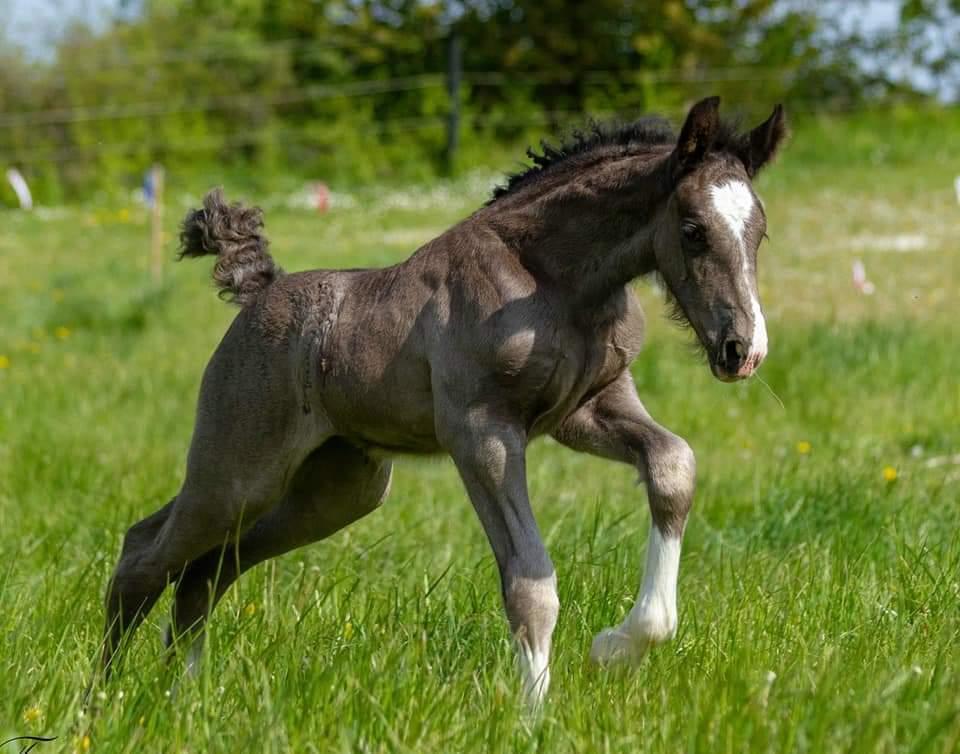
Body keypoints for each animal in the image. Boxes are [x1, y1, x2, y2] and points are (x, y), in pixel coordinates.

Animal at [97, 97, 788, 704]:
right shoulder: (482, 433)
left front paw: (618, 645)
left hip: (338, 489)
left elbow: (674, 466)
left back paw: (180, 696)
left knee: (207, 570)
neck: (549, 275)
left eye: (759, 233)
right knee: (144, 552)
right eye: (693, 231)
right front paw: (533, 719)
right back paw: (102, 699)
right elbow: (531, 582)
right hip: (239, 471)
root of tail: (262, 291)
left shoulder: (590, 411)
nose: (743, 350)